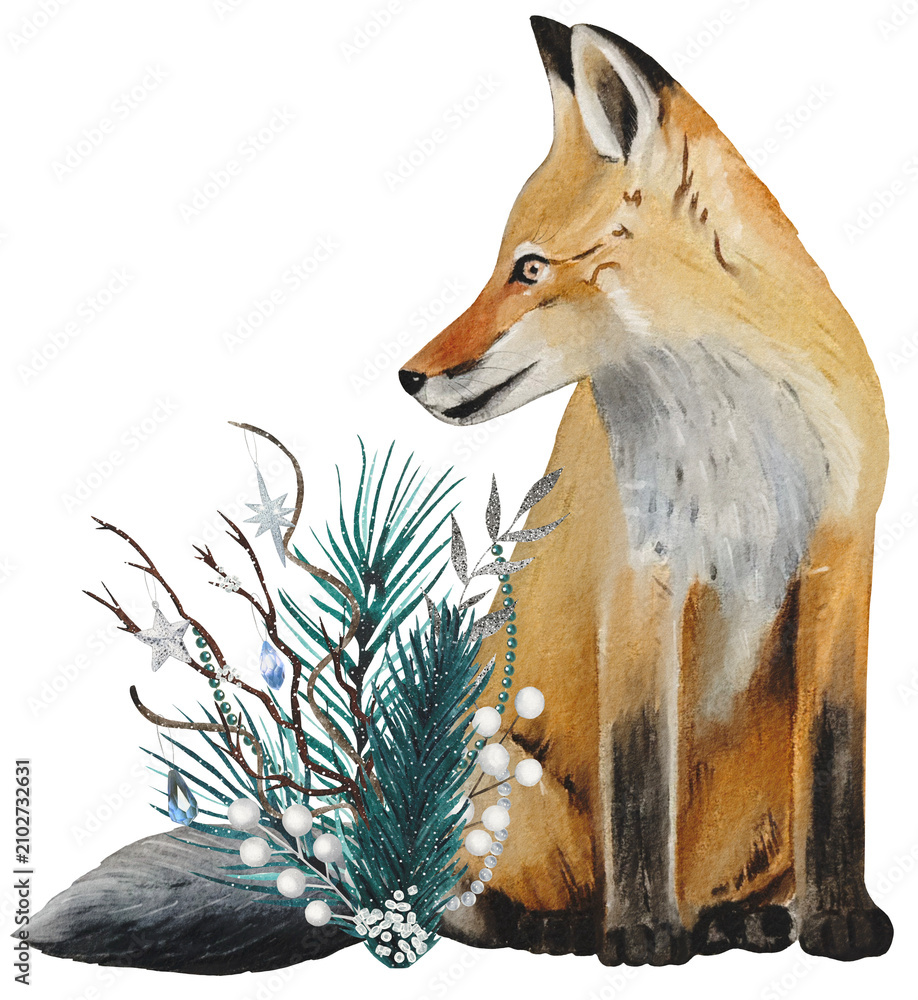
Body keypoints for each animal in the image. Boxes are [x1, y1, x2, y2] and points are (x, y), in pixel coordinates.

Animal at [400, 17, 893, 965]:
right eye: (504, 262)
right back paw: (558, 928)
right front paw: (637, 933)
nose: (410, 376)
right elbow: (637, 768)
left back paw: (736, 921)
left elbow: (836, 760)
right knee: (460, 901)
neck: (738, 445)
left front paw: (842, 919)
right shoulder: (639, 571)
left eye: (528, 269)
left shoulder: (843, 556)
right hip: (507, 785)